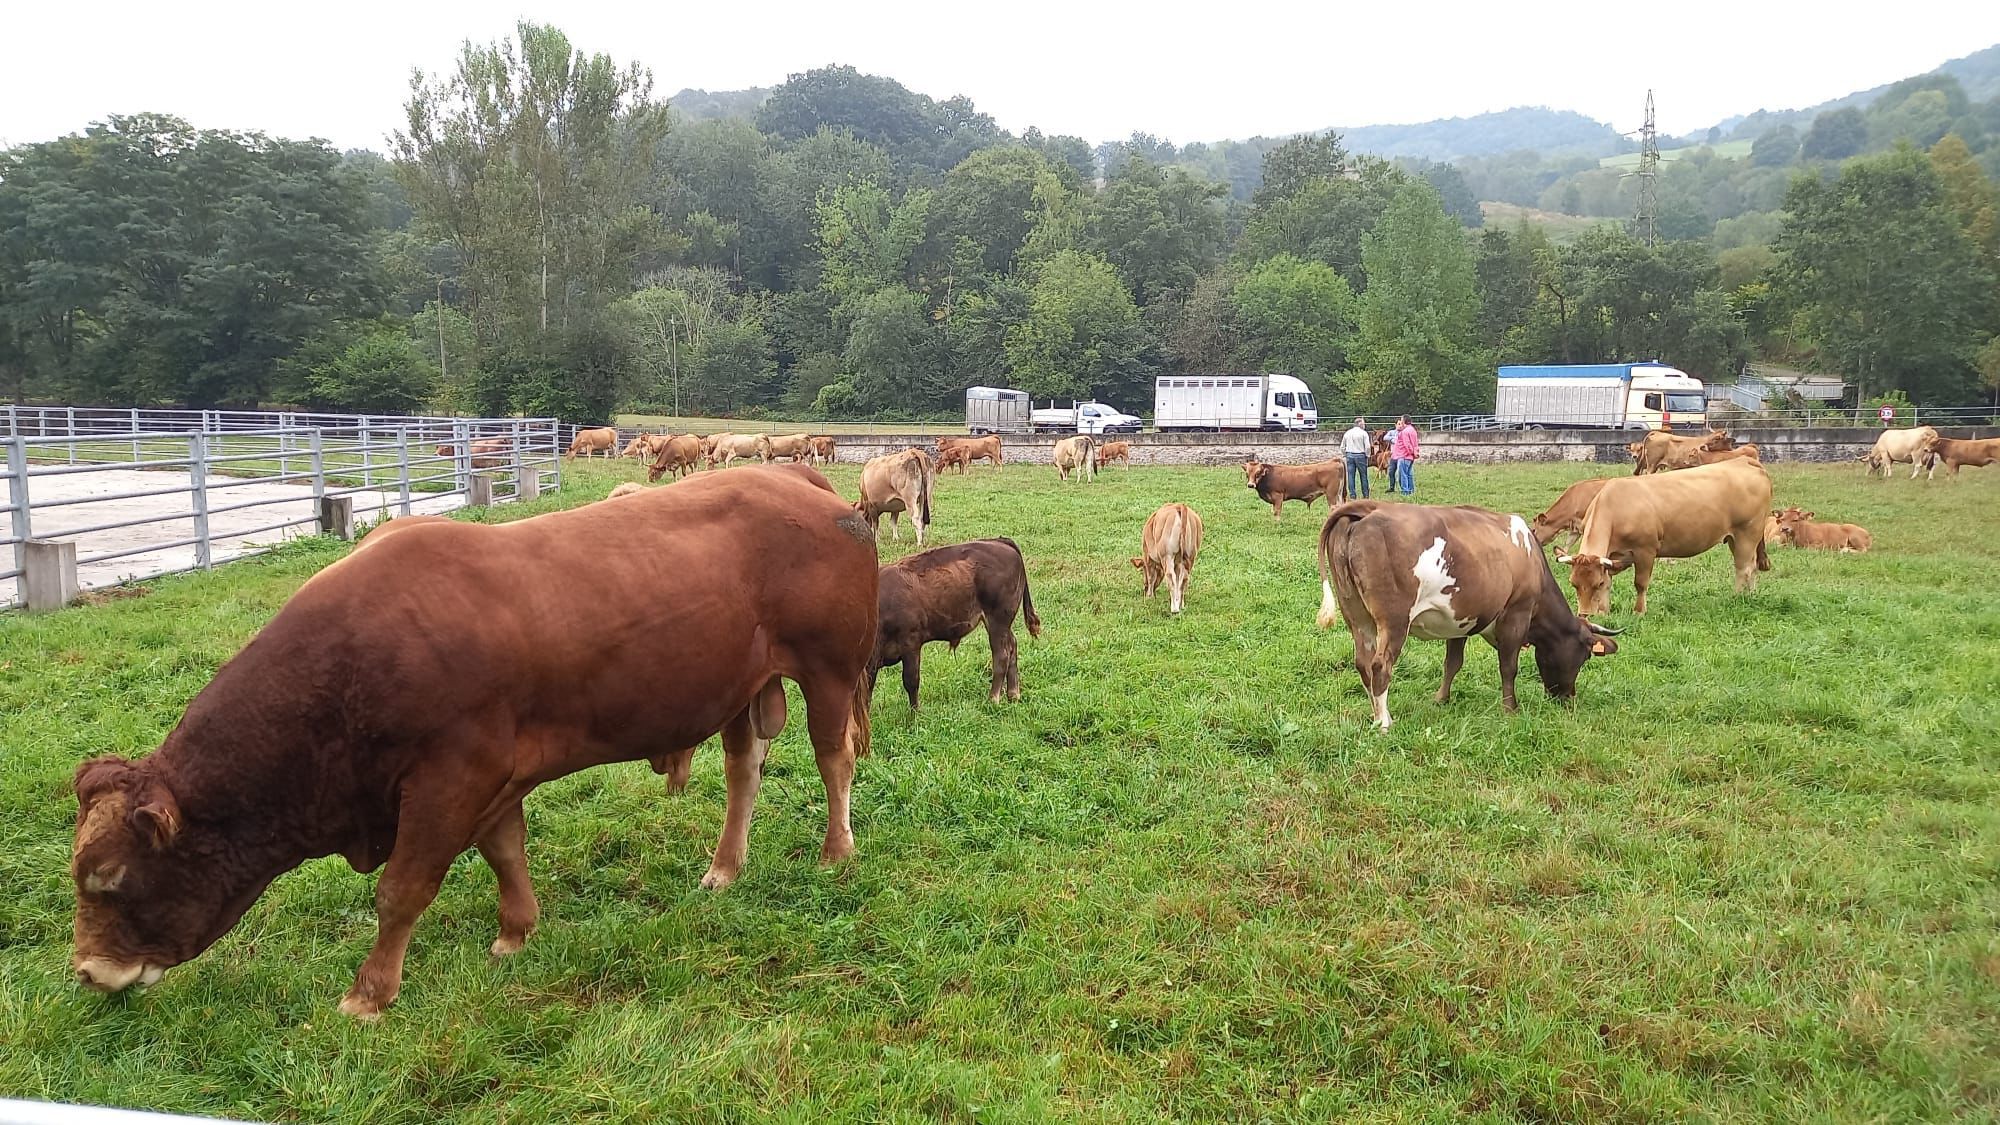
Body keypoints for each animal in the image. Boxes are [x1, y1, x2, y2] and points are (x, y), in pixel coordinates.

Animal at [66, 464, 880, 1016]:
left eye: (109, 879)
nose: (87, 971)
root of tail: (796, 477)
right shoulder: (494, 774)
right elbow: (504, 850)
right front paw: (516, 932)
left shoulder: (451, 775)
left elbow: (402, 888)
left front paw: (370, 993)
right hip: (742, 688)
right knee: (745, 770)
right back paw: (723, 868)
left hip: (830, 670)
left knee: (833, 758)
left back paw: (837, 850)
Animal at [868, 536, 1040, 708]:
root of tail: (1000, 542)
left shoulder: (911, 645)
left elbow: (911, 681)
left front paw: (915, 712)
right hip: (1001, 625)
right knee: (1012, 646)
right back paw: (1013, 695)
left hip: (997, 622)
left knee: (1001, 655)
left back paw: (993, 699)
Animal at [1312, 498, 1624, 728]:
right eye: (1584, 656)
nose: (1567, 698)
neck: (1531, 559)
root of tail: (1369, 508)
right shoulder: (1517, 614)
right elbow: (1508, 667)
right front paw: (1510, 709)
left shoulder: (1459, 620)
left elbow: (1452, 663)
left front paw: (1441, 699)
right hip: (1394, 620)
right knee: (1380, 665)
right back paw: (1385, 722)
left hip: (1356, 614)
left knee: (1363, 662)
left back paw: (1375, 713)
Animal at [1552, 452, 1776, 612]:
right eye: (1573, 584)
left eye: (1595, 584)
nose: (1584, 615)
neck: (1616, 505)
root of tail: (1745, 461)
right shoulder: (1614, 557)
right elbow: (1610, 581)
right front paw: (1604, 611)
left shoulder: (1645, 551)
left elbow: (1640, 583)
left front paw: (1639, 611)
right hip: (1736, 538)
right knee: (1751, 567)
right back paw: (1750, 596)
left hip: (1747, 533)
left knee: (1744, 568)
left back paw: (1737, 598)